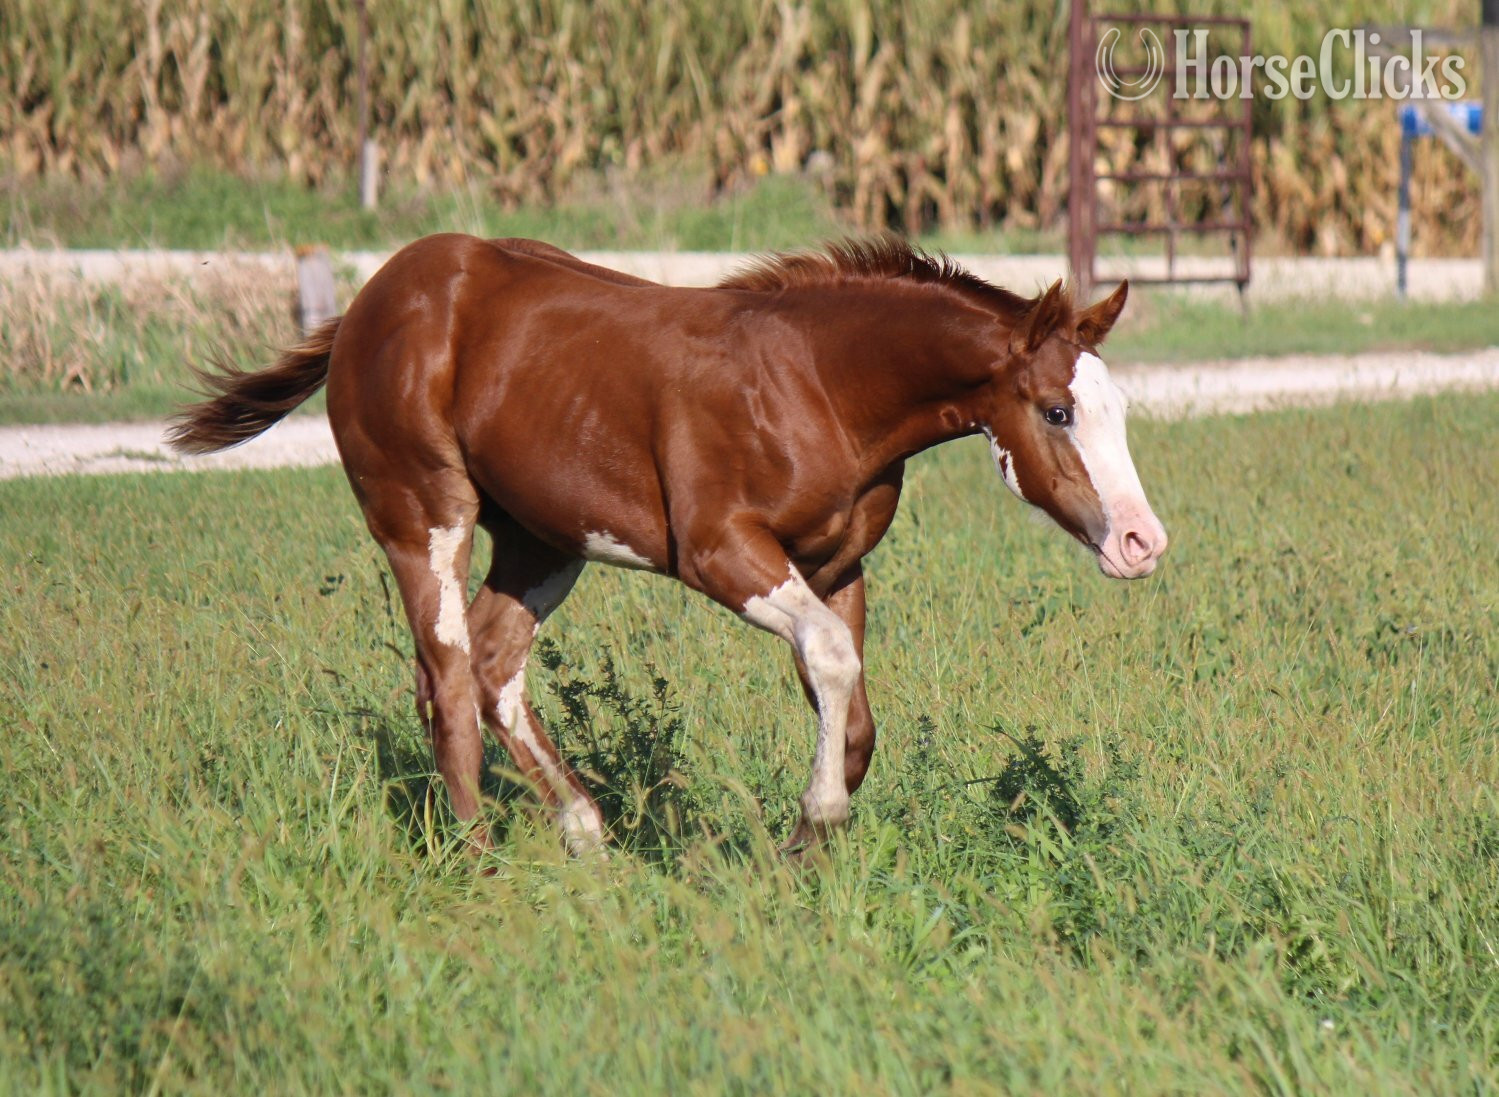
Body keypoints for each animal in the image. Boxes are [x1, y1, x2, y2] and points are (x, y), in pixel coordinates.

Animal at [168, 235, 1167, 857]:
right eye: (1055, 410)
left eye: (1117, 405)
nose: (1140, 541)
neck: (816, 382)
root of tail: (370, 299)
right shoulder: (721, 551)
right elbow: (832, 659)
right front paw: (814, 820)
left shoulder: (835, 564)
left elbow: (847, 702)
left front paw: (803, 839)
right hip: (421, 512)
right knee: (447, 680)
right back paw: (479, 857)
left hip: (541, 540)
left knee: (492, 666)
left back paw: (584, 832)